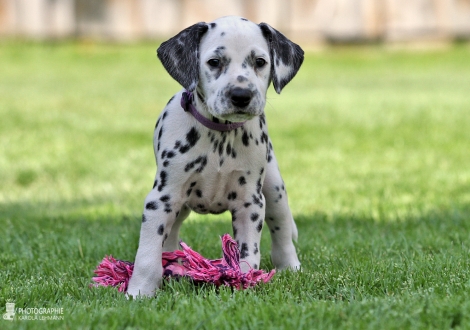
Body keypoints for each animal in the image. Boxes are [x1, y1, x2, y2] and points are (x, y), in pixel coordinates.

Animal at [127, 16, 304, 300]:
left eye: (260, 61)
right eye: (214, 62)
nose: (241, 95)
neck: (220, 138)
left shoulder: (250, 203)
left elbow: (248, 253)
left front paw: (243, 281)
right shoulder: (161, 199)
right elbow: (147, 253)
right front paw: (139, 291)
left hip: (274, 189)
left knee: (282, 228)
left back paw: (290, 266)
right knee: (170, 235)